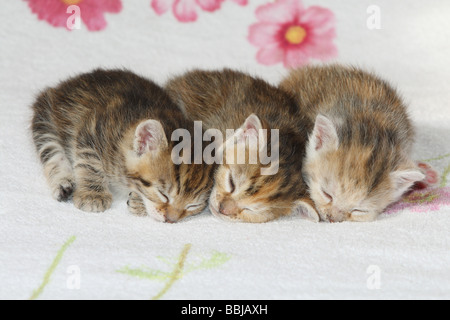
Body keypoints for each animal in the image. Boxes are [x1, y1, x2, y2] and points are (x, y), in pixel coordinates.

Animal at [31, 68, 214, 221]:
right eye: (163, 194)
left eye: (193, 205)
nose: (171, 220)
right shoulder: (93, 128)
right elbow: (90, 162)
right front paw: (93, 195)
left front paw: (138, 202)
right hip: (46, 116)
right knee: (51, 149)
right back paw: (64, 183)